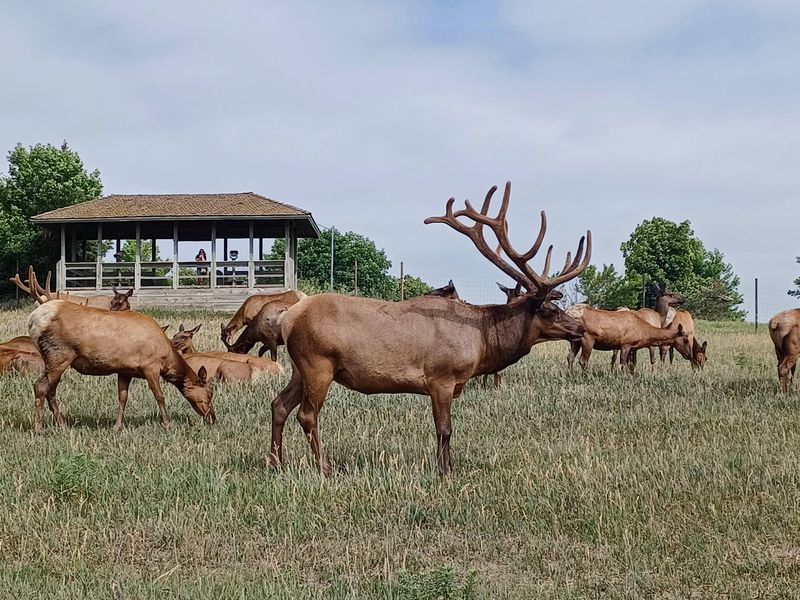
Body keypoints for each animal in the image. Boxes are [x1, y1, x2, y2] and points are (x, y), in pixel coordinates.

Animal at [26, 270, 214, 432]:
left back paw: (62, 424)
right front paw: (167, 424)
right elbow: (159, 395)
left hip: (56, 359)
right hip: (59, 354)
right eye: (209, 393)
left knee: (51, 390)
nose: (212, 417)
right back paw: (38, 427)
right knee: (40, 386)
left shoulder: (125, 370)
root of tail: (33, 319)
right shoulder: (151, 366)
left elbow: (122, 397)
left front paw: (117, 426)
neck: (167, 357)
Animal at [269, 181, 590, 477]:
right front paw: (444, 472)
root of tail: (288, 318)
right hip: (318, 363)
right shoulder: (441, 376)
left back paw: (276, 464)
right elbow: (445, 429)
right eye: (550, 310)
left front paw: (449, 467)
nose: (580, 328)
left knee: (279, 404)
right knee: (307, 415)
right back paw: (326, 468)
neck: (482, 340)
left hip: (300, 368)